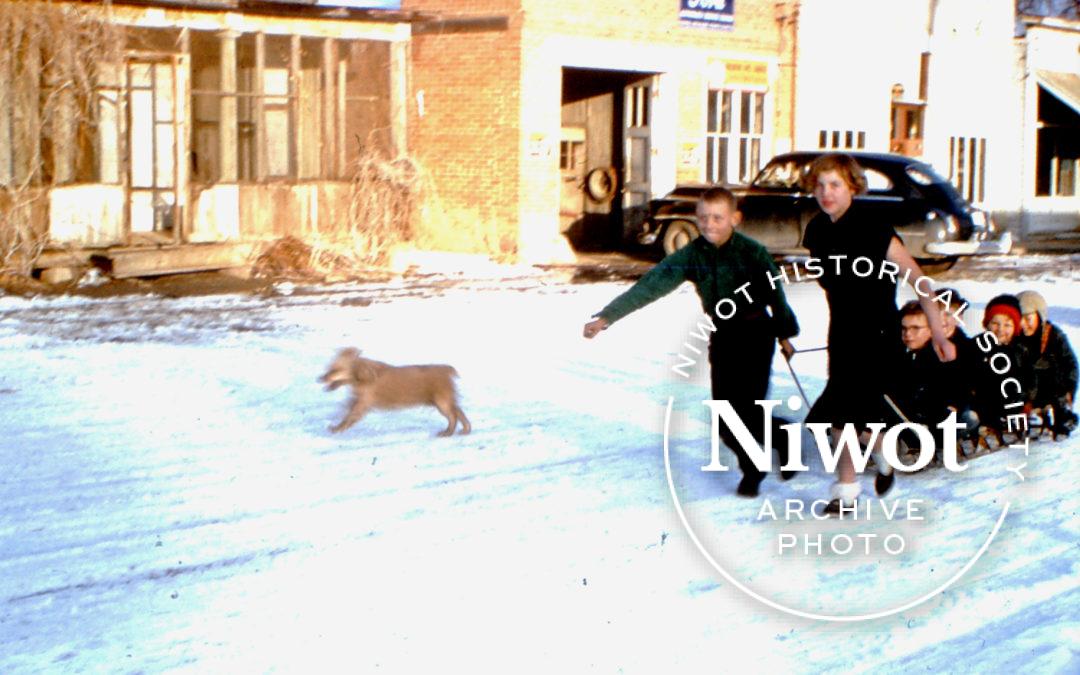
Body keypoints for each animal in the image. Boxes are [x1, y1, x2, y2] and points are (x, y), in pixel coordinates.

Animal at [319, 347, 473, 436]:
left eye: (335, 370)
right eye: (329, 368)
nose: (320, 378)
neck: (362, 375)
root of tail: (447, 369)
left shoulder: (362, 403)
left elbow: (349, 417)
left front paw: (337, 428)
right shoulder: (356, 399)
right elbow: (345, 410)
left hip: (441, 402)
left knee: (453, 416)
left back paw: (448, 432)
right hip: (441, 401)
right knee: (458, 412)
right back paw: (465, 429)